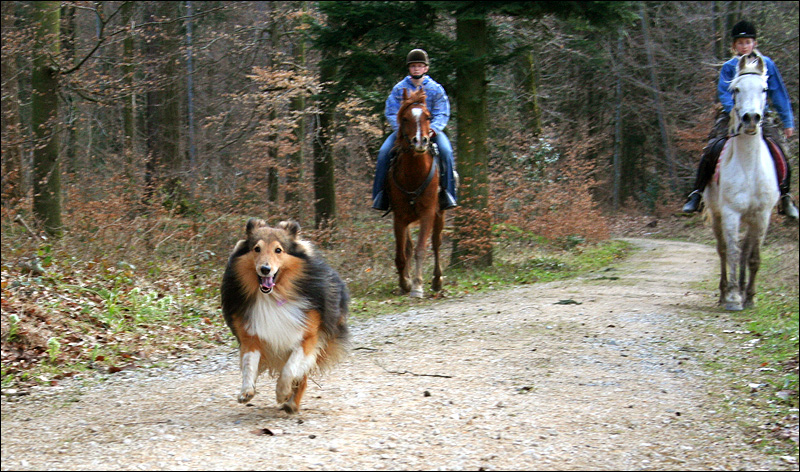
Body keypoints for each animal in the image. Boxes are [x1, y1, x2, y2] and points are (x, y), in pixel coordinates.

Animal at [223, 218, 352, 412]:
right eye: (257, 248)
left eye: (278, 250)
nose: (265, 269)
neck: (273, 296)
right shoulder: (251, 335)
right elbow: (248, 364)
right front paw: (246, 391)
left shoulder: (309, 336)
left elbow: (289, 369)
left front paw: (282, 392)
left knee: (302, 375)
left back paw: (291, 403)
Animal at [390, 86, 446, 296]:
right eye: (405, 118)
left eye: (428, 116)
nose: (420, 141)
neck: (414, 175)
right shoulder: (399, 217)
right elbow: (402, 252)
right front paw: (404, 282)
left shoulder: (428, 213)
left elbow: (421, 249)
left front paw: (417, 285)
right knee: (408, 247)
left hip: (439, 213)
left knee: (437, 243)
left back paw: (437, 281)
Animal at [704, 52, 780, 310]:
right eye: (736, 89)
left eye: (764, 89)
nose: (751, 119)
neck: (749, 168)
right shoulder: (730, 213)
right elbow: (733, 252)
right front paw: (734, 297)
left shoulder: (762, 215)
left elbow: (753, 256)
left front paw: (750, 296)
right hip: (716, 214)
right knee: (723, 250)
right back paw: (723, 292)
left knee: (746, 250)